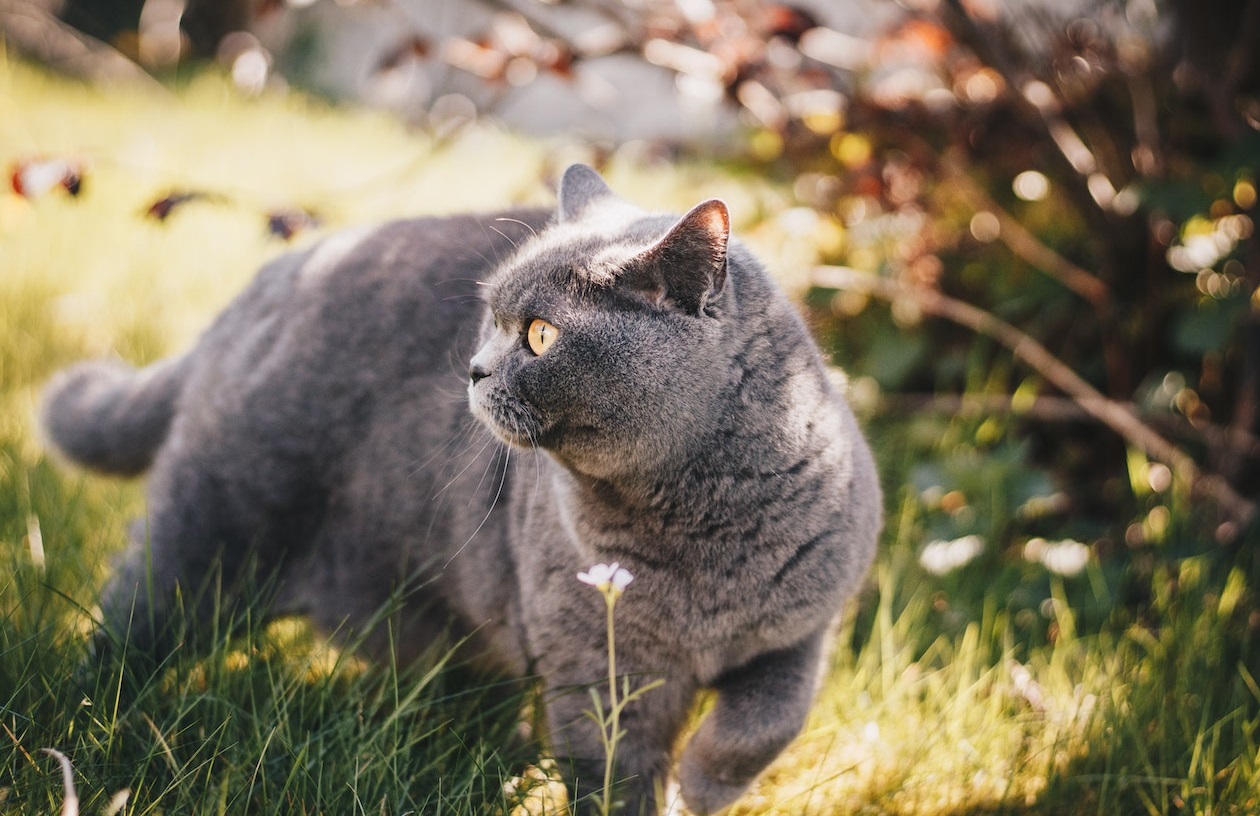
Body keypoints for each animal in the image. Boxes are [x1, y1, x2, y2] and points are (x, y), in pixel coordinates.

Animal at [41, 166, 887, 816]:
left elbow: (763, 727)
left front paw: (704, 788)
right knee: (134, 617)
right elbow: (613, 774)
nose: (475, 370)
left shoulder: (801, 632)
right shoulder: (596, 666)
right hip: (211, 524)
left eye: (541, 334)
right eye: (490, 321)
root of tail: (279, 273)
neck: (698, 530)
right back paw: (87, 723)